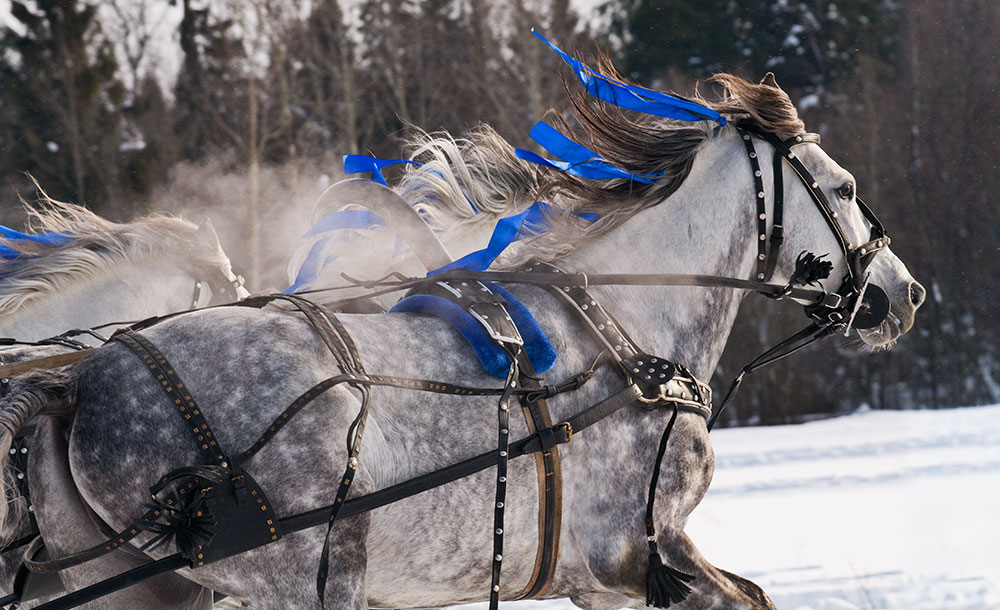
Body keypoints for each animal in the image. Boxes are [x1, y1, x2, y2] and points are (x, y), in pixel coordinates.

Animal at [0, 71, 923, 610]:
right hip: (304, 575)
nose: (903, 293)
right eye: (842, 186)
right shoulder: (638, 552)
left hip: (130, 589)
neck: (629, 329)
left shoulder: (604, 579)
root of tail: (79, 380)